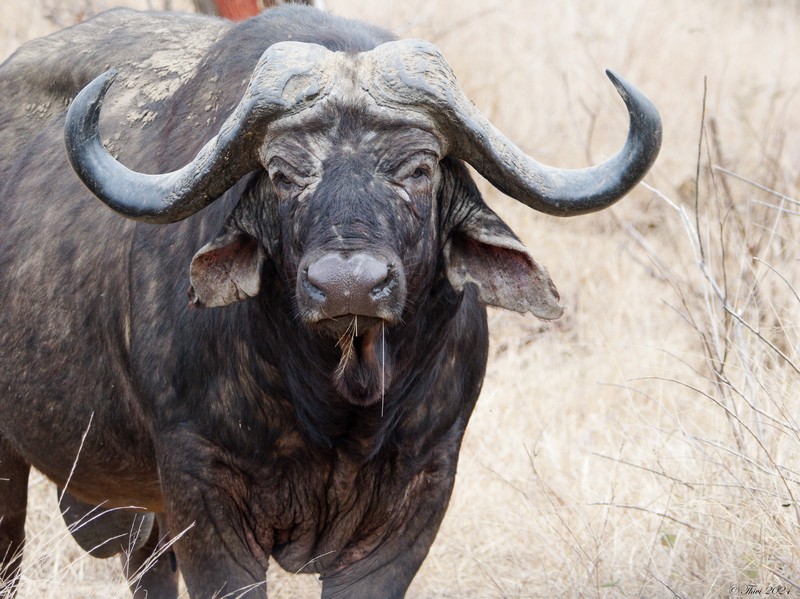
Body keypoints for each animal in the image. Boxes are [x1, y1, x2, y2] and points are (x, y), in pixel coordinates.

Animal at [0, 5, 664, 599]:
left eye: (419, 169)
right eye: (283, 174)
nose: (349, 285)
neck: (334, 404)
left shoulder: (418, 498)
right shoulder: (203, 497)